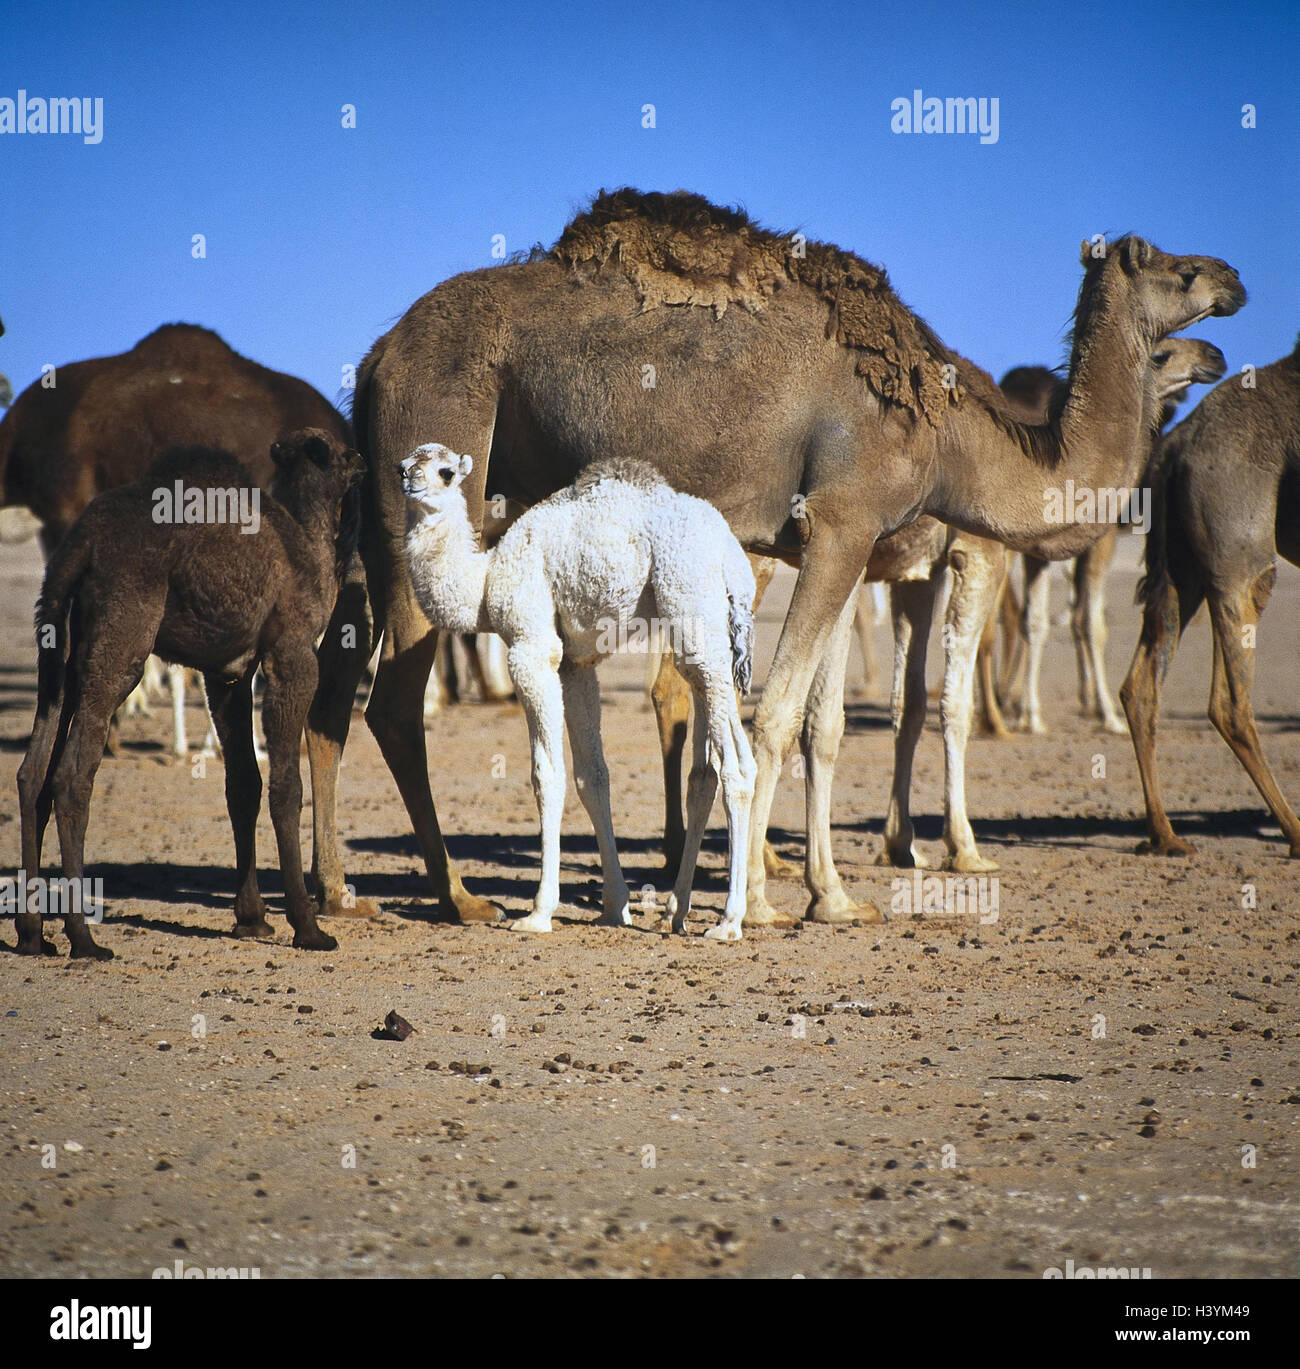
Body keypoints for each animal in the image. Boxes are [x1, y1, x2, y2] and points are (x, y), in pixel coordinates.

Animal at [15, 430, 363, 959]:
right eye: (343, 452)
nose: (365, 460)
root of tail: (79, 546)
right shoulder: (292, 651)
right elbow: (286, 788)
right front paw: (308, 928)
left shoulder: (228, 676)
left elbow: (243, 785)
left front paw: (252, 919)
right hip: (122, 634)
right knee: (72, 776)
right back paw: (84, 938)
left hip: (59, 642)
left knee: (33, 771)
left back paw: (33, 934)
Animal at [401, 446, 756, 940]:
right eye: (404, 464)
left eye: (446, 471)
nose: (411, 480)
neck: (486, 582)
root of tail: (733, 560)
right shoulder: (575, 664)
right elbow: (594, 777)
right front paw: (614, 907)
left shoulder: (532, 648)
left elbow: (546, 775)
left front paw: (538, 913)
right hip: (707, 636)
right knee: (714, 762)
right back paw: (678, 912)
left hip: (693, 612)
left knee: (737, 768)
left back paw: (727, 922)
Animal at [1120, 337, 1300, 859]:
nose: (1214, 353)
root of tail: (1173, 447)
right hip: (1239, 561)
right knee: (1230, 705)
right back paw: (1295, 832)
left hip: (1184, 574)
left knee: (1141, 686)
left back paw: (1164, 835)